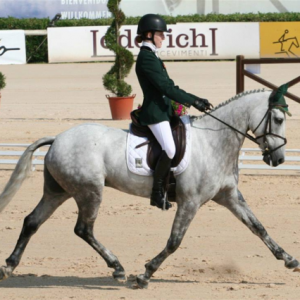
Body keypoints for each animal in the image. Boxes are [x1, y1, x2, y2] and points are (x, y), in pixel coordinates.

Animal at [0, 88, 300, 288]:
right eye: (278, 119)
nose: (279, 160)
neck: (214, 142)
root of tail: (57, 138)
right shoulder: (190, 202)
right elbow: (174, 241)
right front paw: (145, 273)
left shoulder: (230, 197)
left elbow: (258, 227)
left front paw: (288, 259)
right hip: (89, 192)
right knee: (83, 229)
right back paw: (118, 268)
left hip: (58, 192)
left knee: (32, 221)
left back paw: (10, 265)